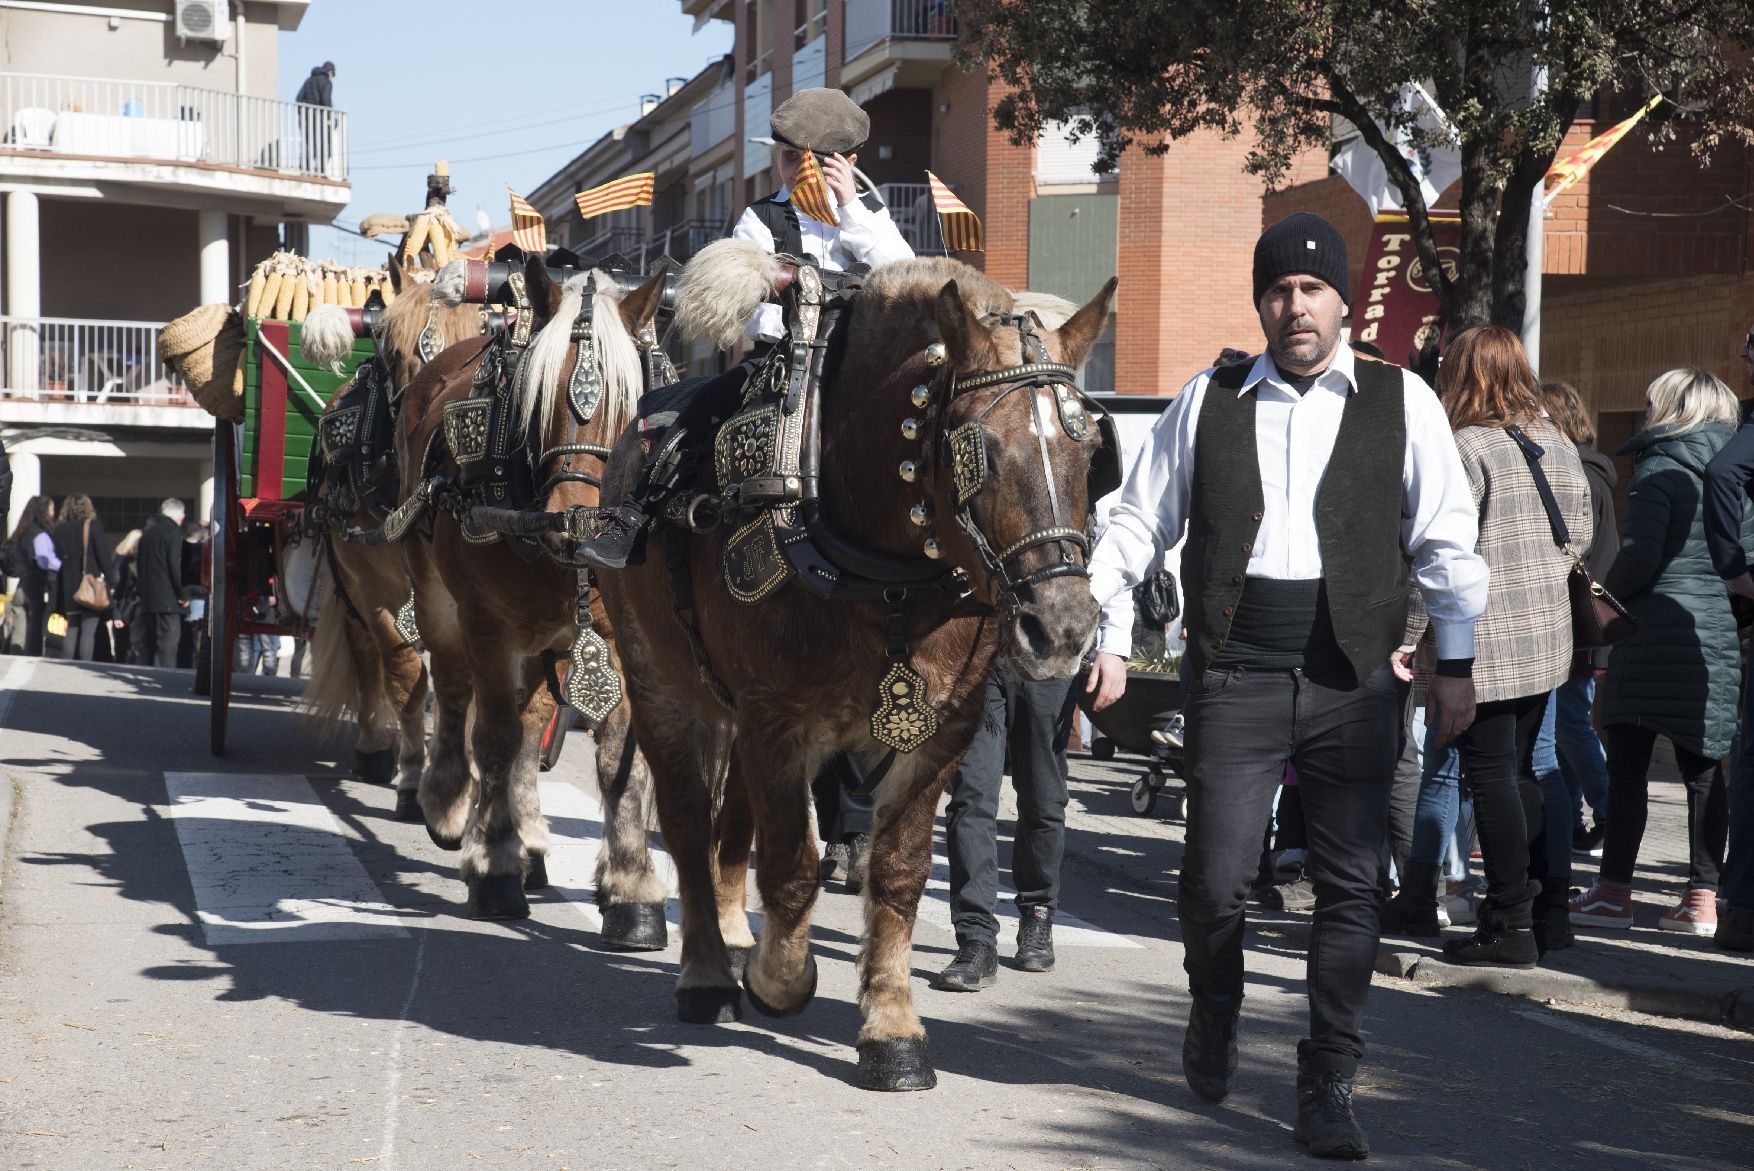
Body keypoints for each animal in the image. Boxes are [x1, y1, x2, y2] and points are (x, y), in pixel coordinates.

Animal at [299, 264, 480, 813]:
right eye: (392, 353)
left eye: (475, 344)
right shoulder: (372, 585)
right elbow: (403, 673)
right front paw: (412, 775)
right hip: (350, 579)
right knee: (366, 657)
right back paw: (375, 748)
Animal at [394, 257, 673, 939]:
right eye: (541, 401)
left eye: (629, 405)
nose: (577, 522)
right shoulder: (489, 624)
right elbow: (492, 736)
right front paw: (494, 865)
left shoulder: (617, 641)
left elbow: (619, 758)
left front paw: (631, 890)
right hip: (437, 594)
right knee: (457, 690)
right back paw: (448, 804)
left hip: (556, 640)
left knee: (532, 722)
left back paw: (530, 840)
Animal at [596, 254, 1101, 1086]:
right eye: (980, 452)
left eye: (1089, 453)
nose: (1061, 628)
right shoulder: (776, 718)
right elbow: (791, 865)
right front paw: (779, 976)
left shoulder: (939, 731)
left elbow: (897, 871)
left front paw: (891, 1029)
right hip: (658, 678)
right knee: (687, 817)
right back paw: (707, 970)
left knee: (732, 822)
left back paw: (734, 928)